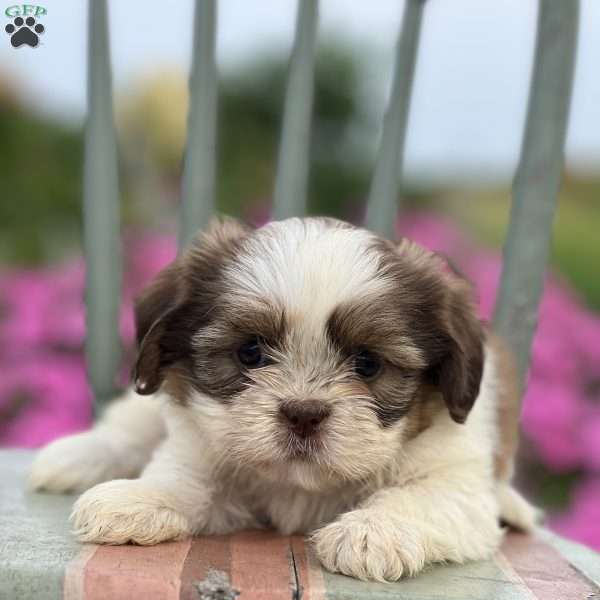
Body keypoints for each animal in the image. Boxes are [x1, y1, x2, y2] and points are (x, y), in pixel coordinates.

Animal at [29, 218, 536, 584]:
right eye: (250, 352)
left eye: (367, 363)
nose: (303, 413)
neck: (301, 484)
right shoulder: (199, 442)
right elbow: (188, 478)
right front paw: (141, 497)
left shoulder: (455, 475)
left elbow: (423, 495)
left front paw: (372, 533)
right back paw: (74, 456)